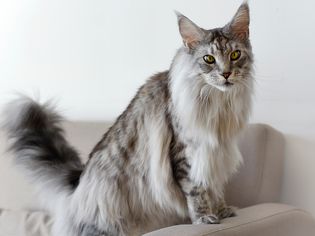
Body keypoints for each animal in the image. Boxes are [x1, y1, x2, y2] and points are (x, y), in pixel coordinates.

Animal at [2, 2, 254, 236]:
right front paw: (203, 219)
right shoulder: (186, 153)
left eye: (235, 55)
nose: (226, 74)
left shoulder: (217, 153)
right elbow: (197, 191)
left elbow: (215, 186)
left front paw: (222, 211)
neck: (219, 103)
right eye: (209, 59)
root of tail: (79, 183)